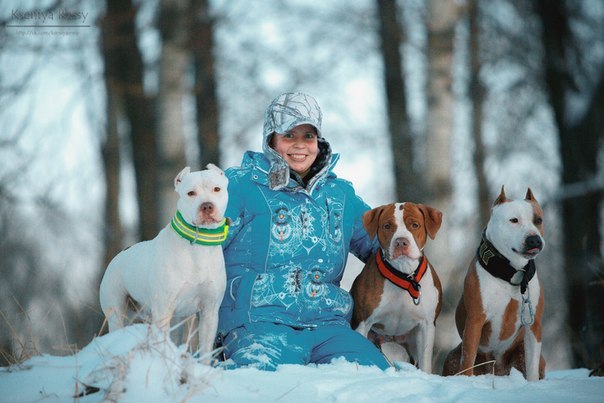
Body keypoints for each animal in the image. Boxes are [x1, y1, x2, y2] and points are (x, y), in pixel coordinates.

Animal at [99, 163, 229, 364]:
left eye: (217, 189)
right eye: (191, 193)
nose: (207, 205)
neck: (197, 247)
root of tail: (119, 254)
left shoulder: (210, 311)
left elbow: (205, 350)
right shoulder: (162, 309)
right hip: (116, 311)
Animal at [350, 204, 444, 374]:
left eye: (415, 225)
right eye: (387, 226)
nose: (401, 242)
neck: (405, 277)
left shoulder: (426, 325)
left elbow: (425, 362)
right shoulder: (363, 323)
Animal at [442, 188, 544, 380]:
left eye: (538, 220)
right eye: (514, 220)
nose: (534, 239)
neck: (511, 272)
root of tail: (497, 370)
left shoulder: (533, 325)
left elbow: (532, 366)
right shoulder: (475, 320)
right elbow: (468, 359)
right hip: (452, 358)